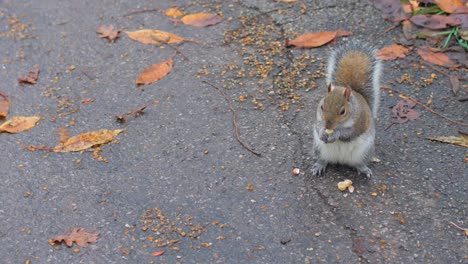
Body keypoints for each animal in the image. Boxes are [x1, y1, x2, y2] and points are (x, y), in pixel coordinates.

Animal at [310, 41, 384, 177]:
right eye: (322, 106)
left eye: (342, 111)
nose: (328, 126)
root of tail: (341, 160)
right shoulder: (318, 118)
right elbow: (318, 126)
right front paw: (322, 131)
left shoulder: (360, 121)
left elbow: (349, 133)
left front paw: (336, 134)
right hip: (319, 148)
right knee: (323, 159)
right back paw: (319, 165)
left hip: (365, 151)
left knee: (359, 163)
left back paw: (364, 169)